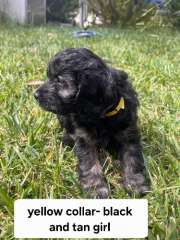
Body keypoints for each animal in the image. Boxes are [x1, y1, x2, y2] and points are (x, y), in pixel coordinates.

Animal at [34, 47, 150, 198]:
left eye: (59, 81)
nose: (35, 95)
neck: (103, 115)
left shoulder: (128, 132)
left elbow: (132, 158)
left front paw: (135, 184)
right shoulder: (84, 138)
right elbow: (90, 163)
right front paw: (96, 188)